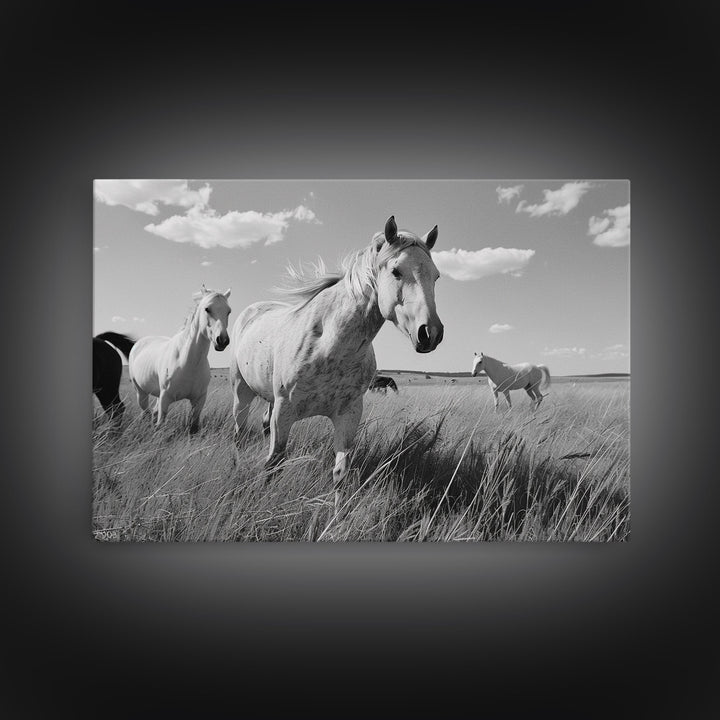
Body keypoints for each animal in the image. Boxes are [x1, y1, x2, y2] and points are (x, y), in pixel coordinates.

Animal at [129, 286, 231, 433]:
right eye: (207, 309)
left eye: (228, 311)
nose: (222, 340)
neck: (188, 362)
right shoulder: (165, 398)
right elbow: (160, 422)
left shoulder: (199, 400)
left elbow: (193, 426)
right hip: (141, 393)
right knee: (146, 412)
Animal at [229, 215, 443, 487]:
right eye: (396, 271)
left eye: (436, 276)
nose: (430, 333)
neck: (330, 347)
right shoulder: (284, 412)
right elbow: (273, 464)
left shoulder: (348, 415)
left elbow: (340, 473)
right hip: (241, 393)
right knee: (239, 433)